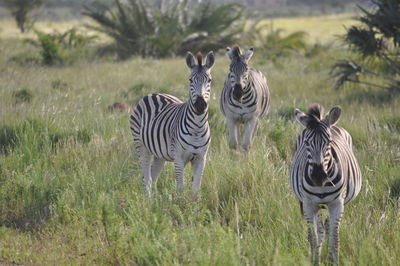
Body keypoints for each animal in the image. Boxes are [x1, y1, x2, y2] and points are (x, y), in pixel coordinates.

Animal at [130, 51, 214, 196]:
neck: (197, 128)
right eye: (190, 80)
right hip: (141, 146)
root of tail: (153, 94)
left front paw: (194, 202)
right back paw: (148, 201)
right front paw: (181, 202)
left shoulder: (201, 158)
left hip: (159, 154)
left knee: (153, 177)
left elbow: (196, 189)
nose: (200, 105)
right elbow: (181, 188)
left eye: (209, 80)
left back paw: (153, 200)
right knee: (147, 178)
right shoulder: (179, 159)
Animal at [290, 103, 362, 264]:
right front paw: (314, 260)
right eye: (306, 143)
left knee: (328, 227)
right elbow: (313, 236)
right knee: (320, 229)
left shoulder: (337, 203)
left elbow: (334, 237)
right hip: (313, 204)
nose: (318, 177)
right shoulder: (308, 204)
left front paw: (333, 261)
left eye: (329, 142)